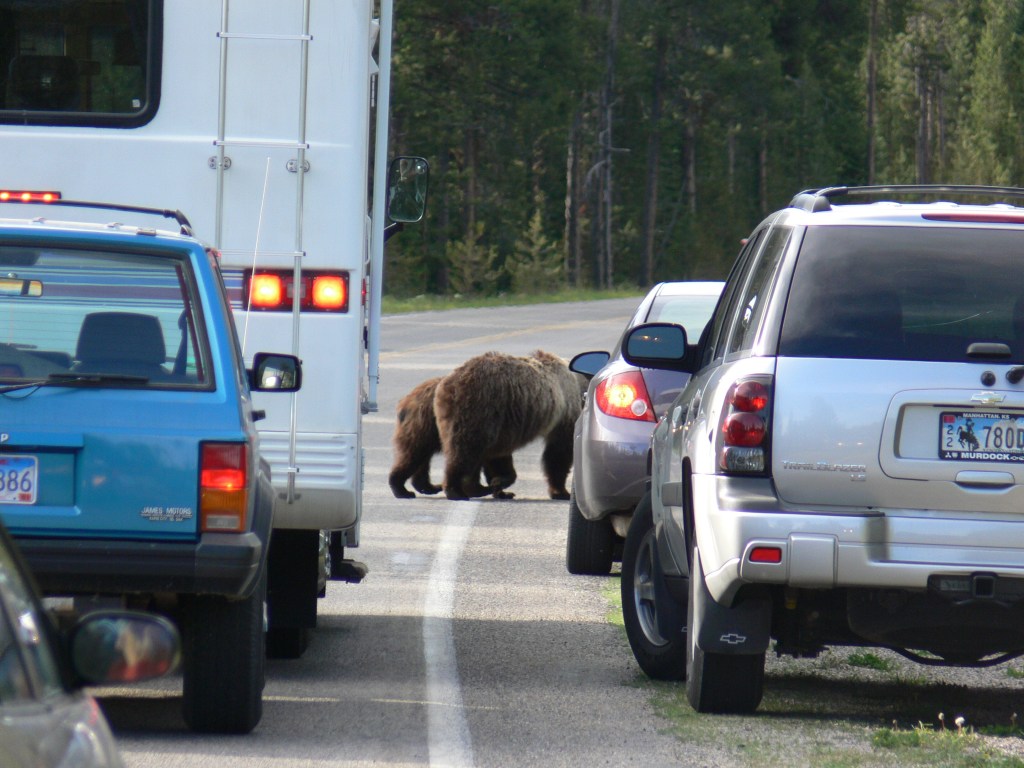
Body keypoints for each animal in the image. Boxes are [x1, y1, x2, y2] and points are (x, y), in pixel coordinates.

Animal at [388, 376, 518, 499]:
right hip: (423, 427)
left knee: (423, 460)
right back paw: (401, 489)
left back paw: (429, 487)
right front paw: (498, 484)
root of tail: (405, 402)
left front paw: (502, 491)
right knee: (413, 455)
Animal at [433, 349, 584, 501]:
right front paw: (561, 492)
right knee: (465, 448)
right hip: (478, 406)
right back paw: (455, 490)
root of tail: (449, 384)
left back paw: (477, 488)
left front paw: (500, 485)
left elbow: (498, 456)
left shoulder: (504, 428)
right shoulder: (566, 411)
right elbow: (559, 453)